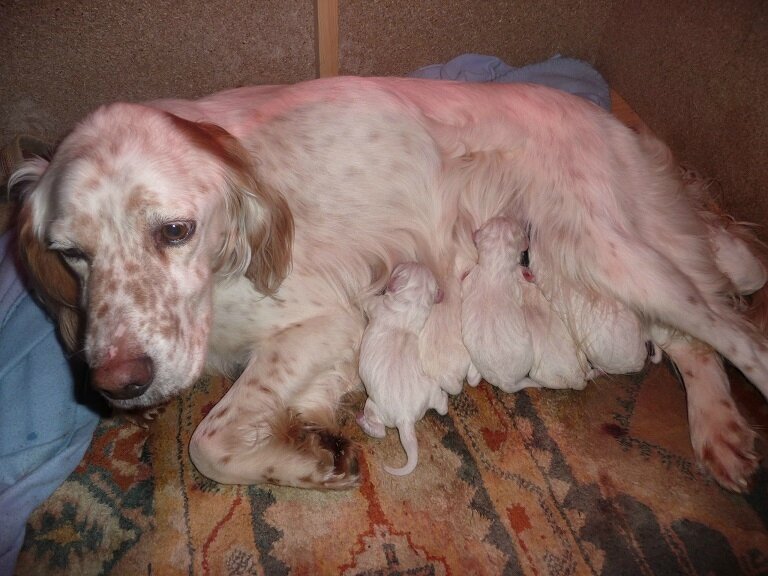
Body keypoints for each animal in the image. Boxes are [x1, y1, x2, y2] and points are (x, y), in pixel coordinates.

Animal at [356, 262, 448, 476]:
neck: (410, 308)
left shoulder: (375, 304)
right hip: (431, 389)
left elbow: (364, 298)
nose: (415, 261)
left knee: (379, 430)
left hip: (373, 406)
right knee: (441, 406)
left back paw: (362, 422)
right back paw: (446, 398)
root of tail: (405, 420)